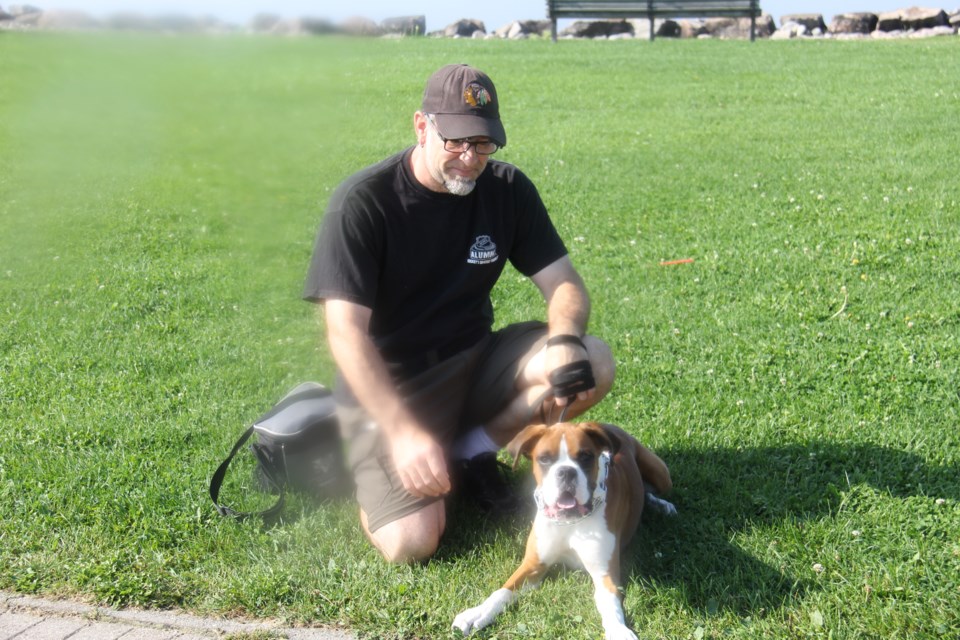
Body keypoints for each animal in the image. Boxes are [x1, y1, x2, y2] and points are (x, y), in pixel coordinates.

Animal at [456, 420, 676, 640]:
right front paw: (478, 612)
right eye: (544, 459)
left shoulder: (605, 574)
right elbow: (503, 591)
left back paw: (663, 506)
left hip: (662, 475)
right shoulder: (533, 566)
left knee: (650, 491)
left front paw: (618, 630)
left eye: (585, 457)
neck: (572, 523)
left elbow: (610, 606)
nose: (566, 472)